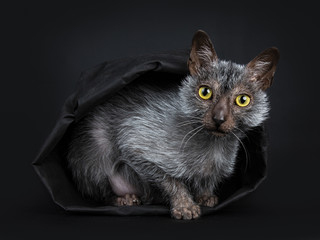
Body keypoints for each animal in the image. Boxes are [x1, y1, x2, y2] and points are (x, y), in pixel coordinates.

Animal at [67, 30, 278, 219]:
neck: (213, 149)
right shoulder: (134, 139)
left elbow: (207, 184)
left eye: (242, 100)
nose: (219, 119)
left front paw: (205, 196)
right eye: (205, 92)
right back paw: (124, 199)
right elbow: (171, 180)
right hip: (95, 152)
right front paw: (185, 206)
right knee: (97, 192)